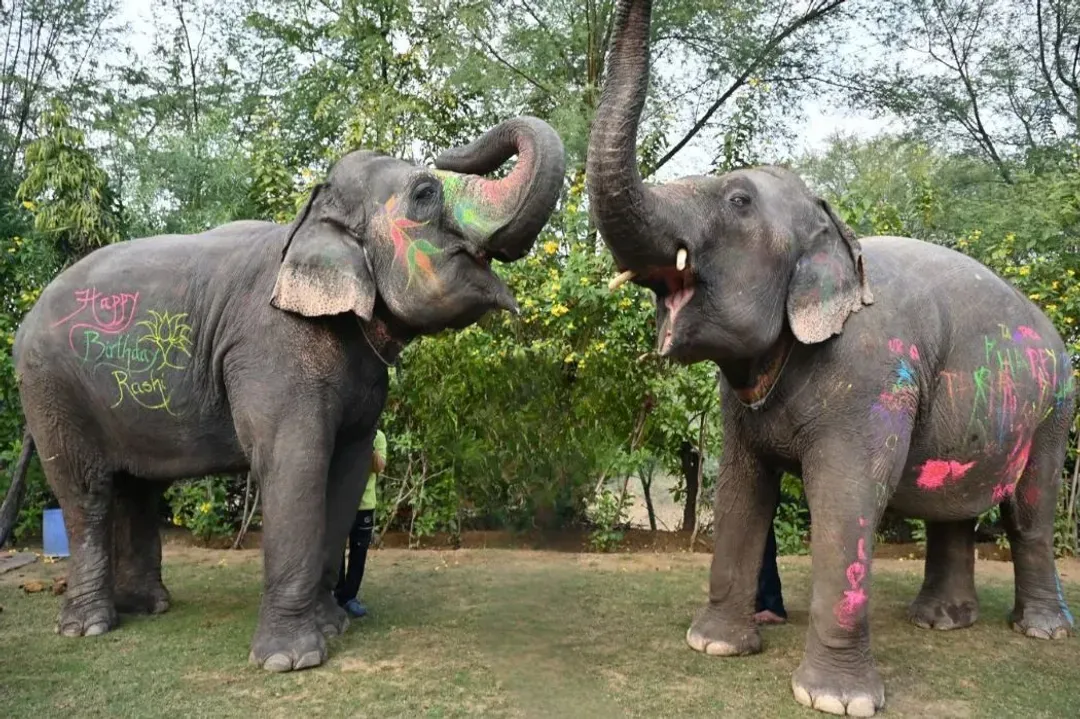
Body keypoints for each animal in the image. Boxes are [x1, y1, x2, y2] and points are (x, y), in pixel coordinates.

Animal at [0, 115, 566, 672]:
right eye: (425, 192)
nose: (448, 153)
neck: (310, 219)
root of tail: (26, 319)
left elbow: (348, 467)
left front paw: (332, 628)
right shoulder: (270, 350)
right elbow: (295, 462)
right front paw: (290, 660)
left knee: (138, 489)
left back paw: (149, 607)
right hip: (52, 388)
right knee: (87, 492)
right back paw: (89, 627)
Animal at [586, 0, 1075, 716]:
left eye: (737, 201)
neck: (834, 225)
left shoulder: (871, 380)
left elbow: (847, 500)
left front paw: (836, 700)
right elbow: (741, 488)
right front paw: (715, 646)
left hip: (1054, 406)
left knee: (1032, 509)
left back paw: (1040, 631)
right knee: (954, 507)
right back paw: (941, 621)